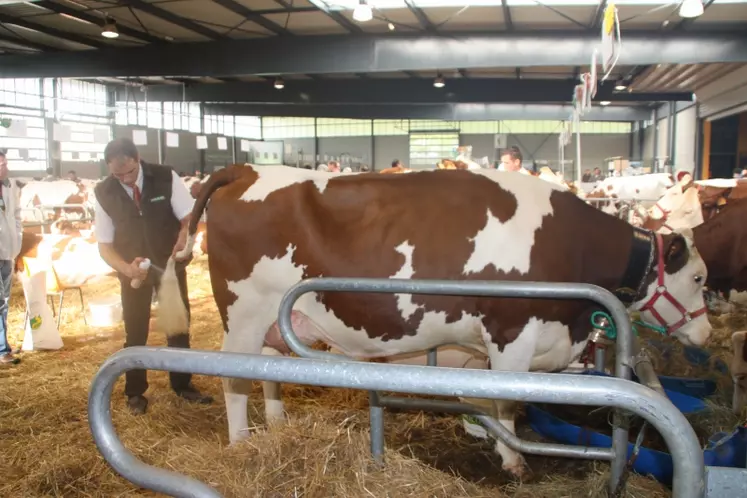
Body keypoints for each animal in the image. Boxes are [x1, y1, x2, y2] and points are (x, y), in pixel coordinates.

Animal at [159, 163, 712, 478]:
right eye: (700, 278)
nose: (706, 332)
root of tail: (245, 168)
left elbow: (484, 395)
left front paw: (482, 434)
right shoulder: (513, 331)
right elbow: (507, 400)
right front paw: (513, 460)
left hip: (275, 318)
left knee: (269, 371)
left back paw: (277, 428)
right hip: (245, 314)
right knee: (235, 379)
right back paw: (242, 444)